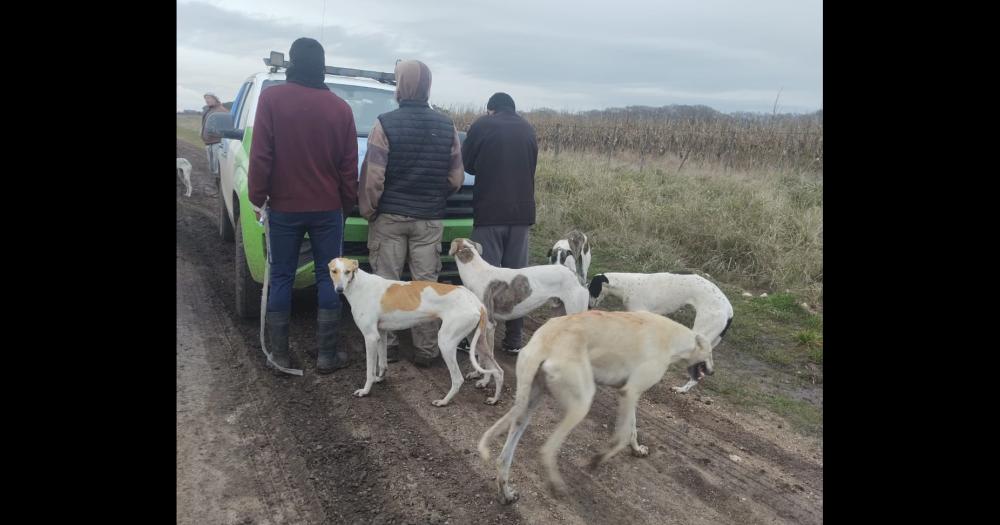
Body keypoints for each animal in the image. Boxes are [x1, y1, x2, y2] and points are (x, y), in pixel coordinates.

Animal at [328, 258, 504, 406]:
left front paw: (365, 390)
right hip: (478, 340)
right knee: (498, 371)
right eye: (334, 271)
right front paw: (380, 378)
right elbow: (383, 363)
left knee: (458, 379)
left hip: (446, 342)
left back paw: (443, 401)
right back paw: (494, 399)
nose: (339, 289)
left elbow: (369, 370)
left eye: (347, 271)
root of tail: (476, 302)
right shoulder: (381, 334)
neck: (359, 285)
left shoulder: (370, 337)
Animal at [480, 310, 716, 502]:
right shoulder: (630, 393)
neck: (672, 337)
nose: (712, 372)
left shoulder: (630, 394)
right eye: (711, 353)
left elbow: (632, 429)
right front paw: (598, 459)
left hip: (527, 406)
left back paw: (506, 493)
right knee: (547, 449)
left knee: (503, 459)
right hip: (580, 405)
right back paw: (557, 486)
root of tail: (545, 342)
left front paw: (637, 449)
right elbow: (621, 436)